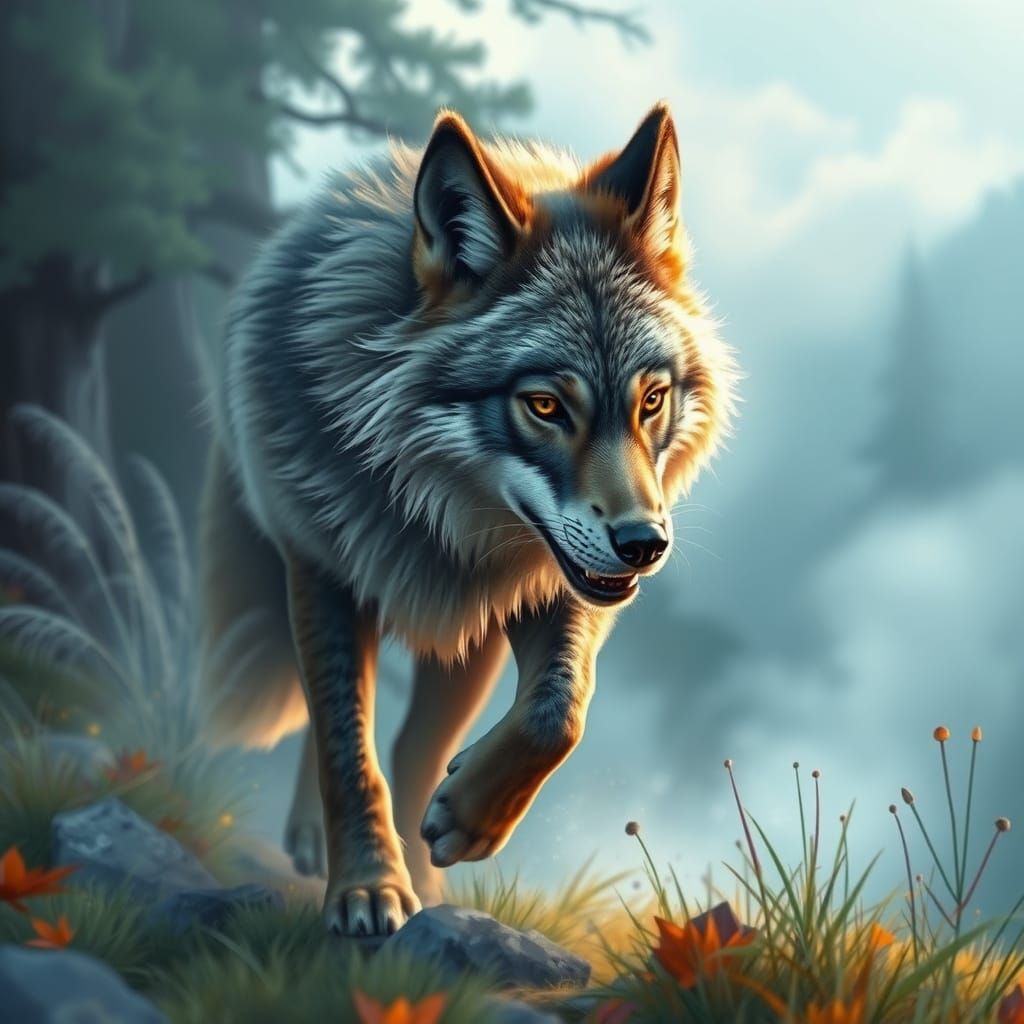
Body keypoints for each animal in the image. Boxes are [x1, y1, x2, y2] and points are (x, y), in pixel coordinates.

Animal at [196, 102, 736, 939]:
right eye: (545, 405)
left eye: (651, 400)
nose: (644, 545)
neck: (439, 520)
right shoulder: (322, 573)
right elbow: (347, 748)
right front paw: (367, 889)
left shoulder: (546, 588)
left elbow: (558, 712)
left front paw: (465, 820)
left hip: (468, 646)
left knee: (419, 748)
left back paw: (433, 868)